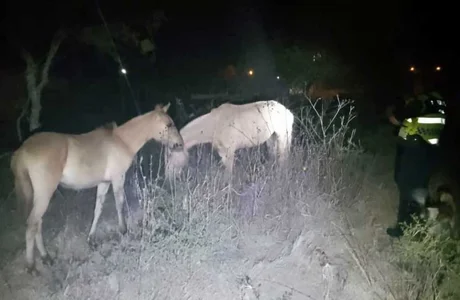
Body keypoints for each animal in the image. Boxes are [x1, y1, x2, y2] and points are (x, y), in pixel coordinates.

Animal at [10, 103, 183, 274]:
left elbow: (97, 210)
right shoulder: (117, 178)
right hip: (44, 194)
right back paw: (31, 265)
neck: (122, 141)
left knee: (37, 223)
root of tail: (21, 150)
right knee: (32, 224)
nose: (179, 145)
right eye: (169, 124)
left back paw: (46, 257)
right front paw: (123, 230)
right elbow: (119, 204)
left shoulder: (104, 183)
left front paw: (91, 239)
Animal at [166, 99, 294, 178]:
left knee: (283, 157)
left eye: (170, 155)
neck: (214, 125)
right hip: (271, 139)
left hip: (283, 136)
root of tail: (287, 111)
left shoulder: (229, 153)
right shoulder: (223, 154)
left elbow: (228, 177)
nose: (168, 178)